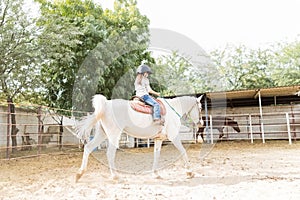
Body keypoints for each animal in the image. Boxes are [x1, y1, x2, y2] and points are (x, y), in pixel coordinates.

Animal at [74, 94, 204, 181]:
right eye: (201, 108)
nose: (201, 123)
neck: (173, 110)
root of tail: (106, 104)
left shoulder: (159, 139)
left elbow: (156, 155)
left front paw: (156, 174)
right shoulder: (174, 136)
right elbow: (183, 151)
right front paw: (190, 172)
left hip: (102, 134)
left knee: (88, 148)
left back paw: (80, 173)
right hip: (113, 135)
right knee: (110, 153)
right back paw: (115, 176)